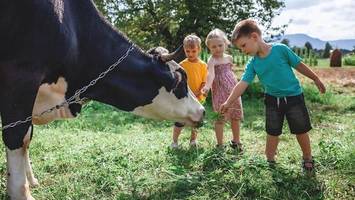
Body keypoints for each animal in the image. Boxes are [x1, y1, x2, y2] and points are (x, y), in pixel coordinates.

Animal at [0, 0, 204, 199]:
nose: (202, 111)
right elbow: (17, 136)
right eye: (182, 80)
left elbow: (27, 137)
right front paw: (21, 191)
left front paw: (31, 180)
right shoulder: (21, 77)